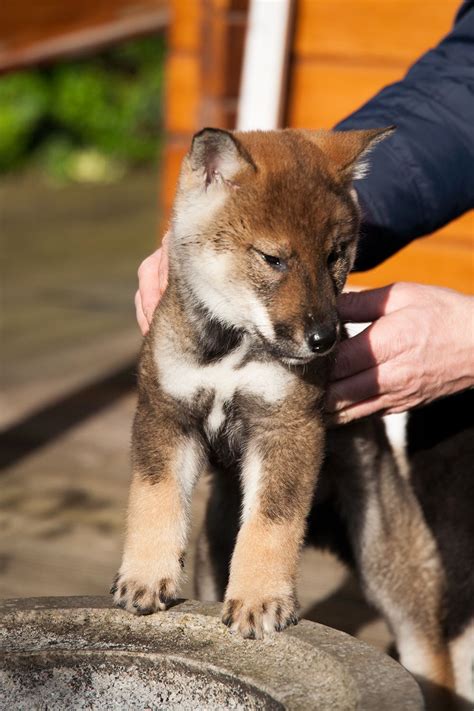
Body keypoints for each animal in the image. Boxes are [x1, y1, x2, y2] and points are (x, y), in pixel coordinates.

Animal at [112, 128, 474, 708]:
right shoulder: (166, 415)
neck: (234, 347)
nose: (325, 340)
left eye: (336, 256)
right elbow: (154, 501)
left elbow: (272, 524)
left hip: (392, 564)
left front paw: (260, 598)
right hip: (216, 547)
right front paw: (145, 576)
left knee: (431, 656)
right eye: (273, 259)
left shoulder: (287, 427)